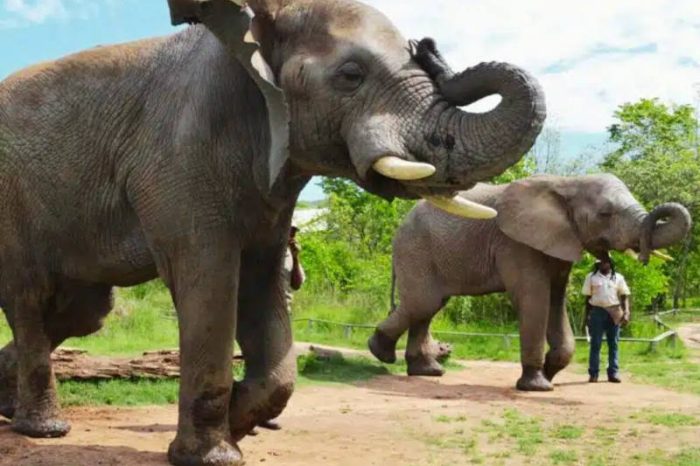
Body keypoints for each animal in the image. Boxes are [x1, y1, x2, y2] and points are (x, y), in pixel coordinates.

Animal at [0, 0, 548, 466]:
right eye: (351, 76)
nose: (430, 45)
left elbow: (262, 287)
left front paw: (243, 418)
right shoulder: (180, 158)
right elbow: (209, 280)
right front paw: (213, 455)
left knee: (83, 311)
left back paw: (8, 406)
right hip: (14, 203)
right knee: (30, 297)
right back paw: (44, 430)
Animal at [370, 174, 692, 390]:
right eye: (605, 214)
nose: (644, 253)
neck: (568, 183)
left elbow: (556, 299)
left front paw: (549, 374)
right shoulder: (516, 243)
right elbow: (534, 298)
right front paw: (538, 386)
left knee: (429, 306)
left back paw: (427, 372)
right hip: (415, 249)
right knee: (424, 302)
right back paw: (381, 352)